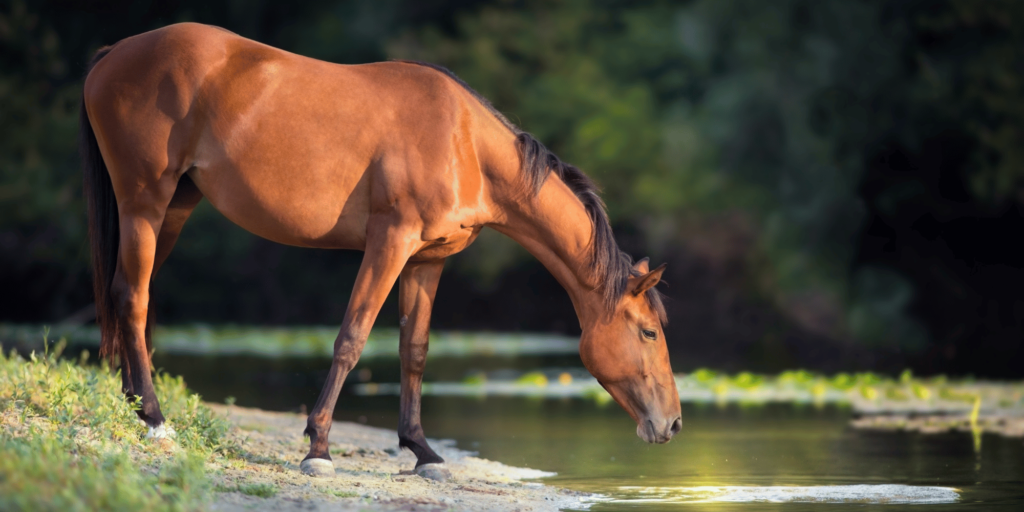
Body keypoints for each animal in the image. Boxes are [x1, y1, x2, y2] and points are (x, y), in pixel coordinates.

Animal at [79, 22, 679, 477]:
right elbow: (353, 337)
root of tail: (116, 52)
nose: (672, 424)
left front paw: (423, 451)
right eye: (649, 332)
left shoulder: (428, 259)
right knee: (133, 297)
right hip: (144, 202)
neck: (464, 143)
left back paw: (137, 407)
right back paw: (155, 420)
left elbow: (414, 350)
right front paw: (319, 448)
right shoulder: (390, 241)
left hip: (173, 208)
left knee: (131, 297)